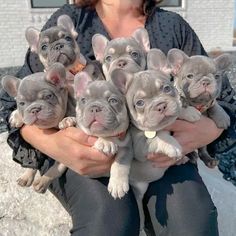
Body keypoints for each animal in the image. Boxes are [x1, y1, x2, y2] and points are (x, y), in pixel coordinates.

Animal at [1, 63, 73, 194]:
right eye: (21, 103)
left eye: (49, 96)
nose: (34, 109)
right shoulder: (35, 149)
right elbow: (32, 161)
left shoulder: (65, 155)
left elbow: (56, 168)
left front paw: (43, 181)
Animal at [59, 71, 134, 199]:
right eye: (83, 100)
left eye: (113, 100)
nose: (94, 107)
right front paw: (68, 120)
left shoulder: (127, 148)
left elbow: (121, 163)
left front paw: (117, 184)